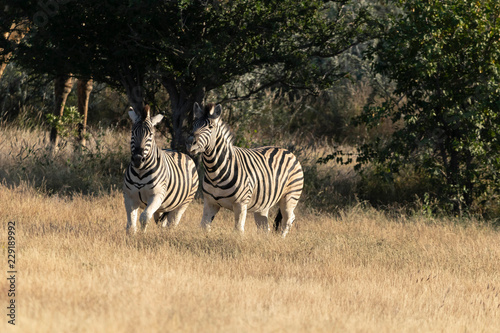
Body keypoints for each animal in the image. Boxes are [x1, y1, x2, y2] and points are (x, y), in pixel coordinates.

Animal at [186, 102, 302, 235]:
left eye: (211, 127)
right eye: (194, 125)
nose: (190, 143)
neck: (215, 171)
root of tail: (288, 151)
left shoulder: (240, 204)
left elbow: (238, 230)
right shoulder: (210, 202)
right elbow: (204, 227)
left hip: (290, 197)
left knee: (288, 219)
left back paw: (281, 238)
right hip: (263, 205)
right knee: (264, 227)